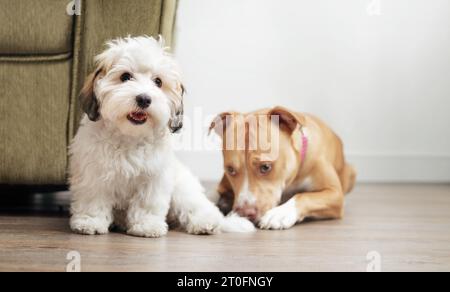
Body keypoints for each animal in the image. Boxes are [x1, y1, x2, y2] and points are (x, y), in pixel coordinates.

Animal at [68, 36, 255, 237]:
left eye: (158, 82)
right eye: (125, 77)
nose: (144, 99)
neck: (129, 136)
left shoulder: (154, 177)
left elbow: (147, 203)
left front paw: (147, 225)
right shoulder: (93, 173)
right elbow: (92, 199)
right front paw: (90, 221)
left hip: (183, 189)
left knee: (198, 207)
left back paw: (206, 223)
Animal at [209, 107, 356, 230]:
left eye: (265, 167)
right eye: (230, 169)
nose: (245, 213)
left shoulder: (335, 193)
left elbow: (304, 196)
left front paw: (280, 214)